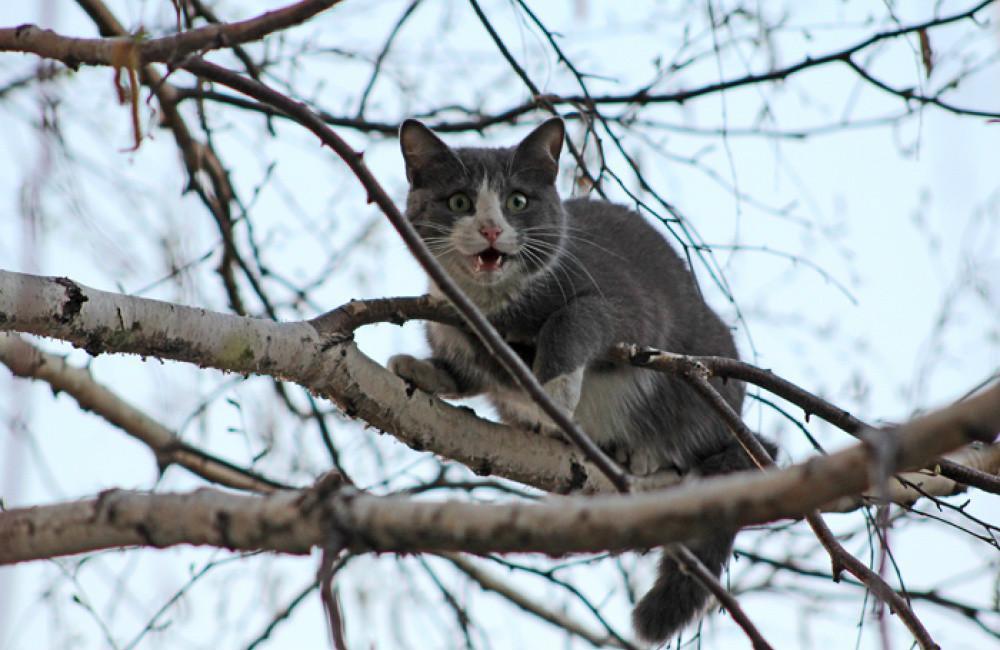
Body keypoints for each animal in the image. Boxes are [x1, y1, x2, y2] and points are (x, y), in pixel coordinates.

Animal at [388, 117, 772, 644]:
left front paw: (553, 392)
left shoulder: (624, 301)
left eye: (518, 201)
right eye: (459, 202)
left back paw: (643, 452)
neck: (493, 309)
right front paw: (420, 369)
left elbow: (574, 320)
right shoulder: (447, 319)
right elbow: (470, 368)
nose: (491, 228)